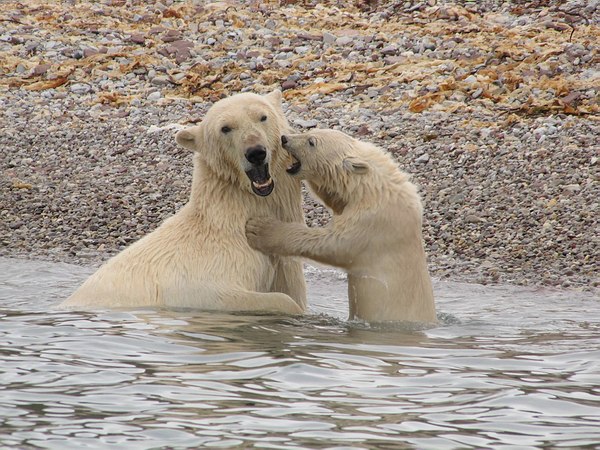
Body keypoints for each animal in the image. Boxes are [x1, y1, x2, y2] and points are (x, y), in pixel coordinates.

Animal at [61, 90, 308, 314]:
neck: (231, 221)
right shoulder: (203, 283)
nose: (255, 152)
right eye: (225, 128)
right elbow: (275, 299)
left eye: (262, 117)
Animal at [245, 129, 436, 324]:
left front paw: (260, 228)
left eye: (311, 142)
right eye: (310, 131)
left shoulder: (372, 223)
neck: (372, 188)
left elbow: (331, 243)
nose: (285, 139)